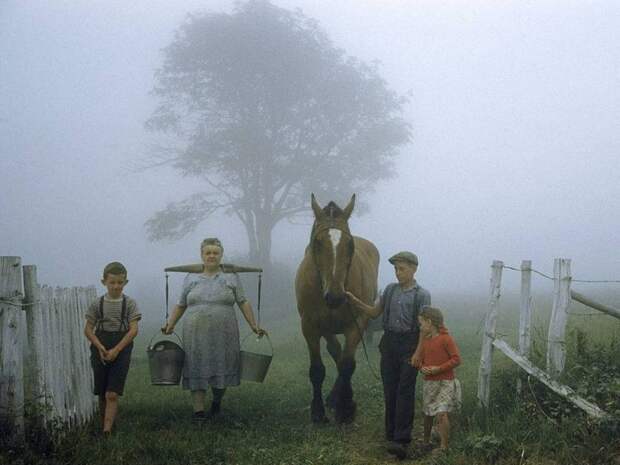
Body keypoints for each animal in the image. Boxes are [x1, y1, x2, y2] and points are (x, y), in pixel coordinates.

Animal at [294, 194, 378, 422]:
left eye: (349, 244)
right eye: (317, 243)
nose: (335, 297)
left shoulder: (357, 324)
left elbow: (347, 365)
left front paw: (346, 407)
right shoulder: (310, 326)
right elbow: (317, 369)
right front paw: (318, 411)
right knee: (335, 351)